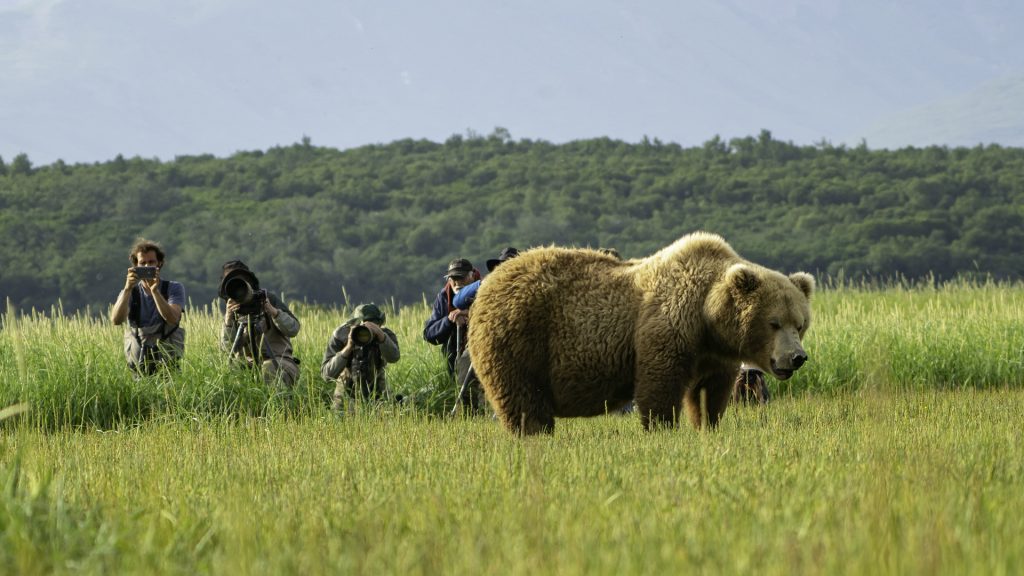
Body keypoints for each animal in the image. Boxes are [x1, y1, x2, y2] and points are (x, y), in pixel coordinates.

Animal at [468, 230, 811, 432]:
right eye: (774, 323)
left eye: (800, 324)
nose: (797, 357)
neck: (705, 316)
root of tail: (491, 282)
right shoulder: (667, 328)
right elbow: (659, 386)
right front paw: (661, 428)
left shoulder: (714, 355)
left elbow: (709, 393)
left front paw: (706, 424)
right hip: (520, 337)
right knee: (524, 400)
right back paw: (533, 432)